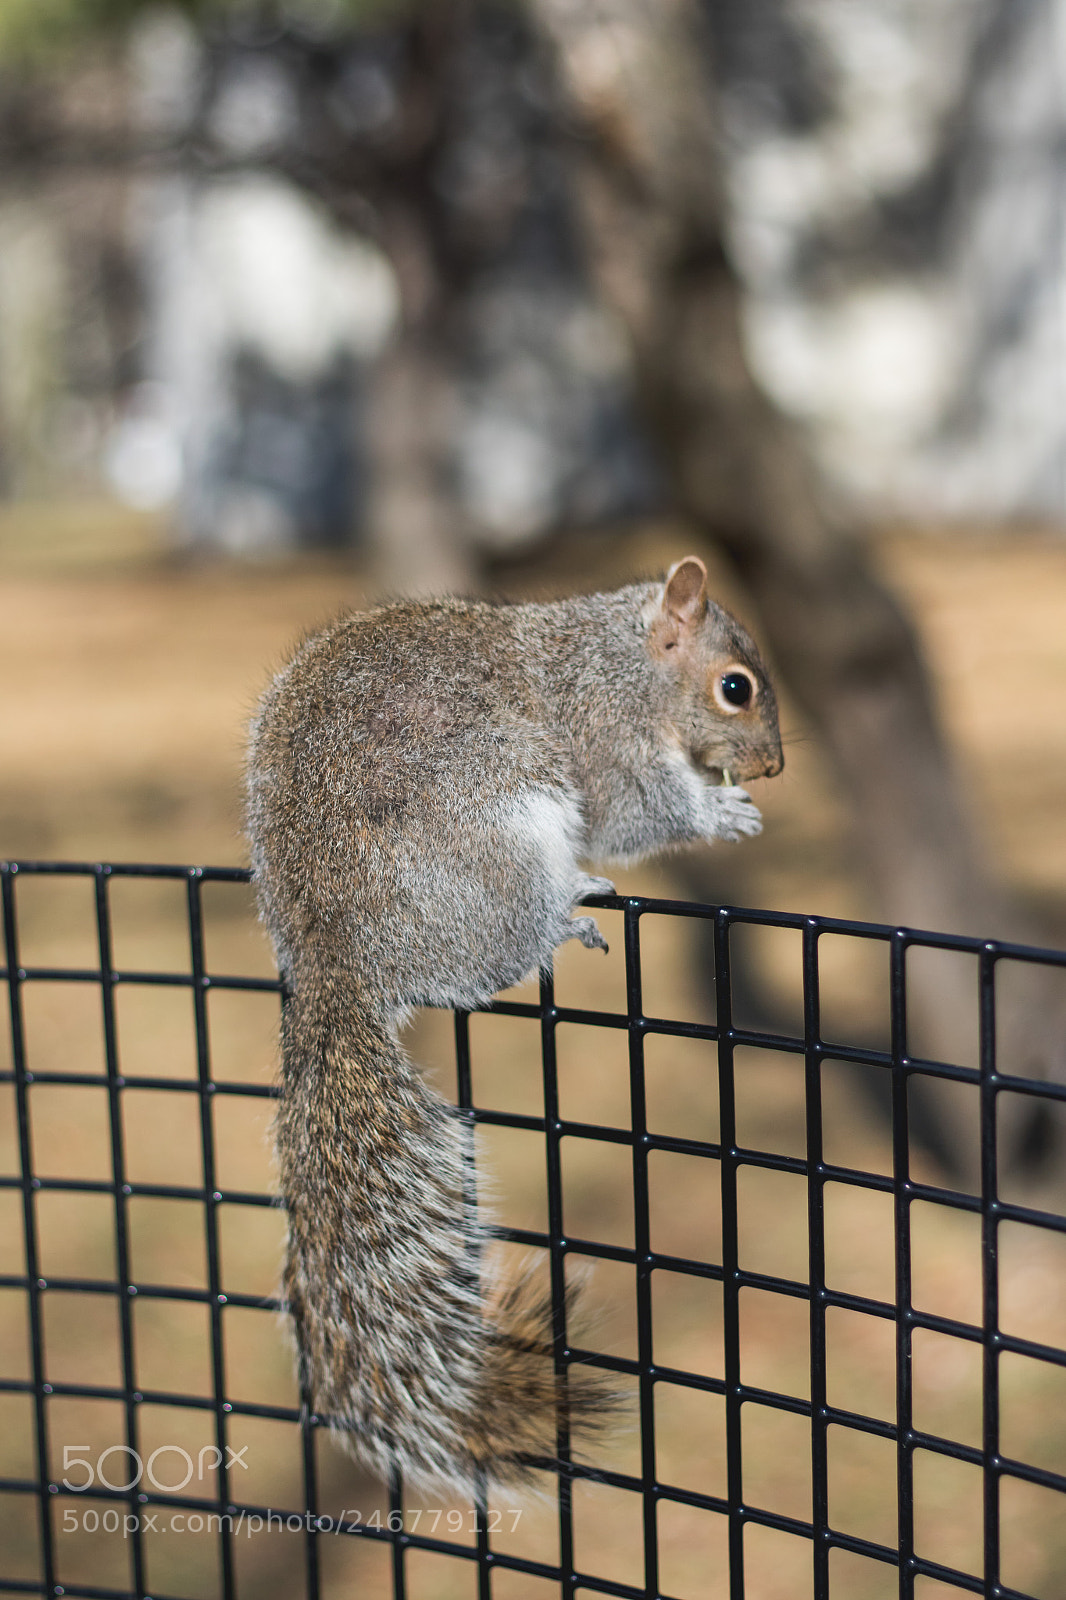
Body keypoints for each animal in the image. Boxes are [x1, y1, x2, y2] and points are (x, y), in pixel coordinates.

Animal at [245, 555, 783, 1499]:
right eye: (734, 688)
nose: (776, 765)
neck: (613, 660)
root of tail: (335, 961)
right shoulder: (603, 743)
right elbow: (630, 814)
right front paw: (719, 816)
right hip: (505, 847)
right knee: (506, 951)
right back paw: (564, 911)